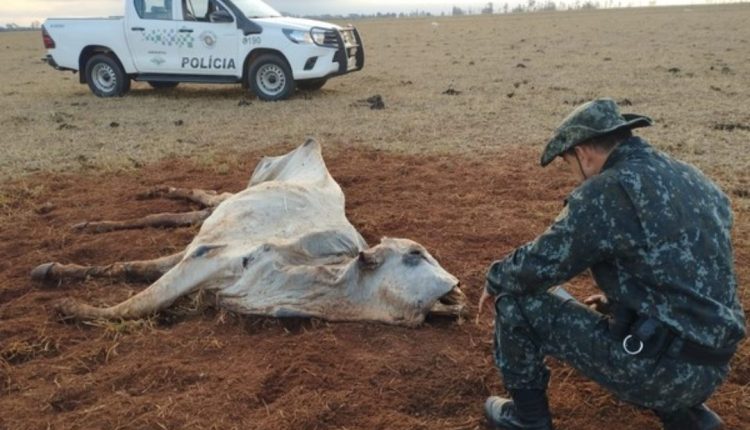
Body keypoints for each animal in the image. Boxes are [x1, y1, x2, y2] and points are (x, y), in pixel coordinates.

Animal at [32, 141, 468, 326]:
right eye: (415, 253)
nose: (459, 288)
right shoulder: (209, 256)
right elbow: (141, 301)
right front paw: (68, 302)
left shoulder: (202, 260)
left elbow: (140, 275)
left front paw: (60, 277)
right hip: (246, 186)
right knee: (199, 198)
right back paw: (142, 196)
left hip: (224, 208)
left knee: (192, 210)